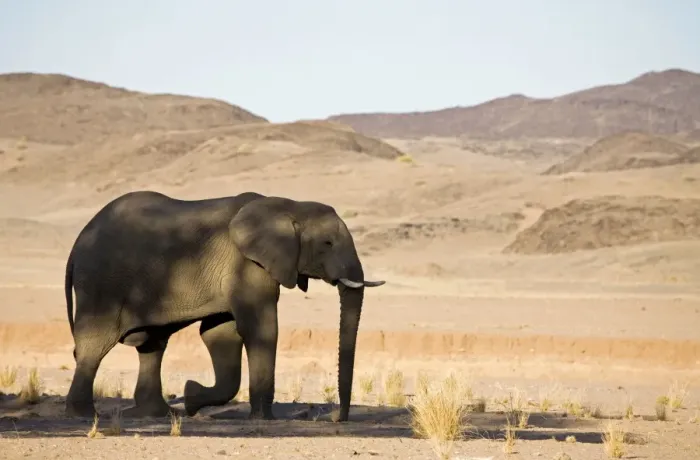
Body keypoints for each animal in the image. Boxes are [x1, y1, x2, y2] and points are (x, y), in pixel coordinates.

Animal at [63, 190, 385, 422]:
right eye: (327, 243)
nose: (335, 418)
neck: (288, 205)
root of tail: (76, 243)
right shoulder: (246, 265)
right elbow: (260, 328)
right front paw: (263, 419)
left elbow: (220, 334)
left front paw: (192, 397)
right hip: (101, 283)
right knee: (96, 343)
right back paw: (84, 415)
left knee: (152, 346)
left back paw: (159, 414)